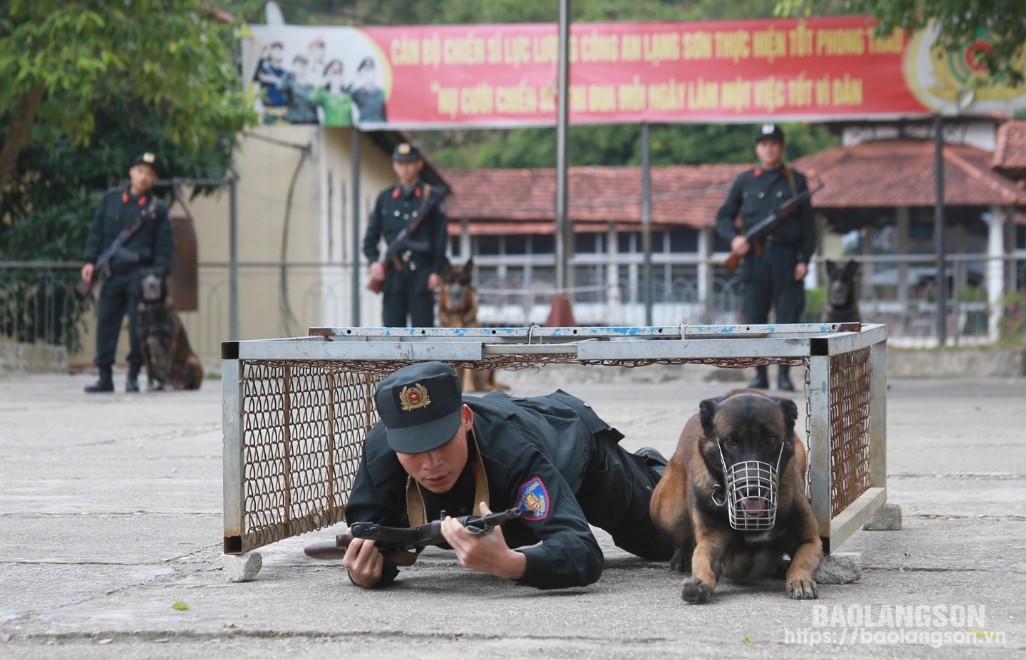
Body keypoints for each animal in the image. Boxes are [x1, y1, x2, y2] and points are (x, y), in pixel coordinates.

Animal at [437, 256, 508, 392]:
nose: (456, 294)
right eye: (450, 281)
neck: (457, 313)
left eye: (463, 282)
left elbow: (469, 369)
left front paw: (468, 387)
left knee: (488, 382)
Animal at [648, 392, 824, 603]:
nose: (753, 489)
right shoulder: (711, 543)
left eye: (770, 439)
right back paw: (682, 555)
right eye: (730, 442)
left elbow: (801, 562)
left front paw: (800, 580)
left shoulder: (810, 542)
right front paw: (699, 581)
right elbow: (702, 560)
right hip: (668, 514)